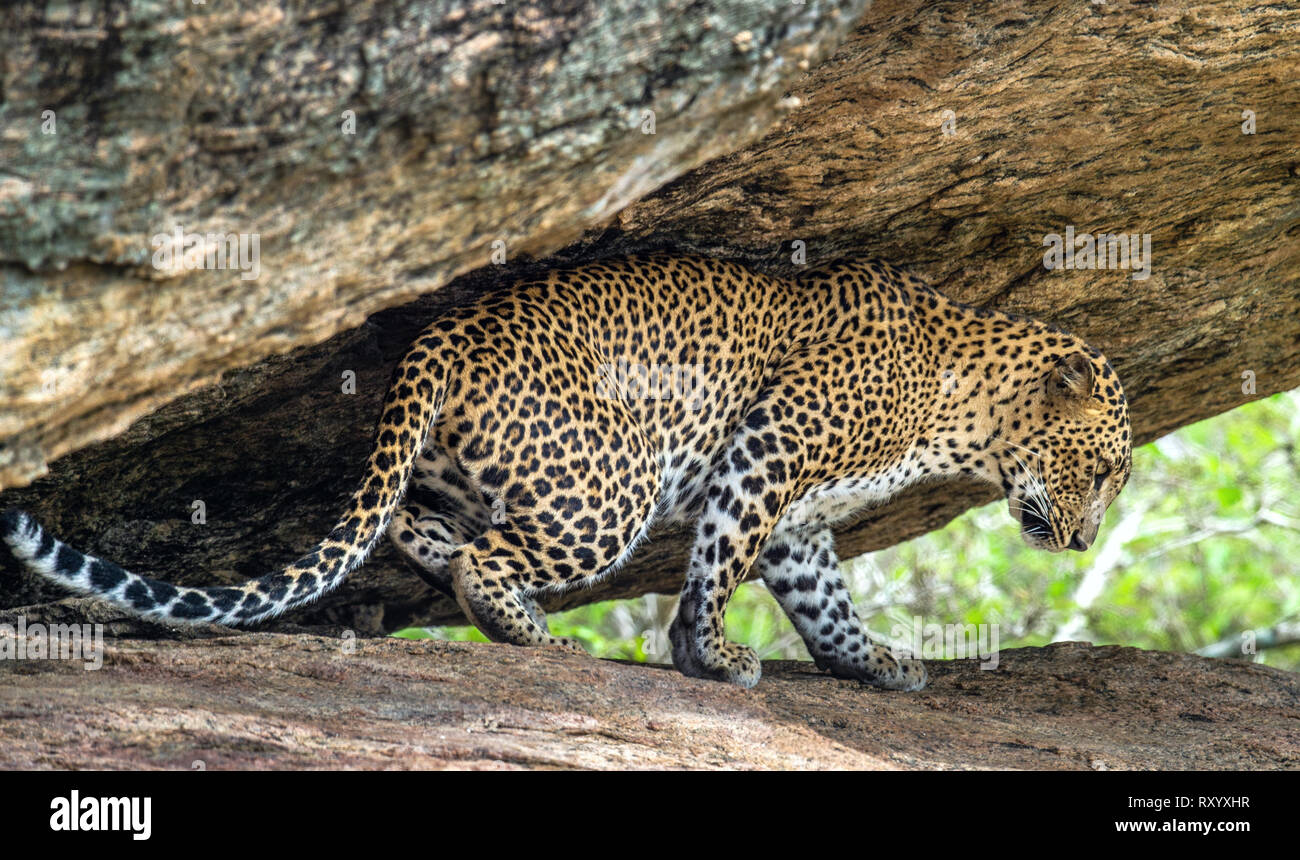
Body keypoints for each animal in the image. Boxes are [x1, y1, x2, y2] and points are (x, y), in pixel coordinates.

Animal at [2, 255, 1128, 696]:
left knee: (411, 521)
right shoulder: (763, 451)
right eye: (1111, 468)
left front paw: (875, 661)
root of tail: (443, 333)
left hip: (472, 471)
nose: (1081, 542)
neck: (963, 412)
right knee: (485, 558)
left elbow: (823, 599)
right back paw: (541, 635)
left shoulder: (805, 517)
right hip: (609, 486)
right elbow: (719, 562)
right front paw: (712, 654)